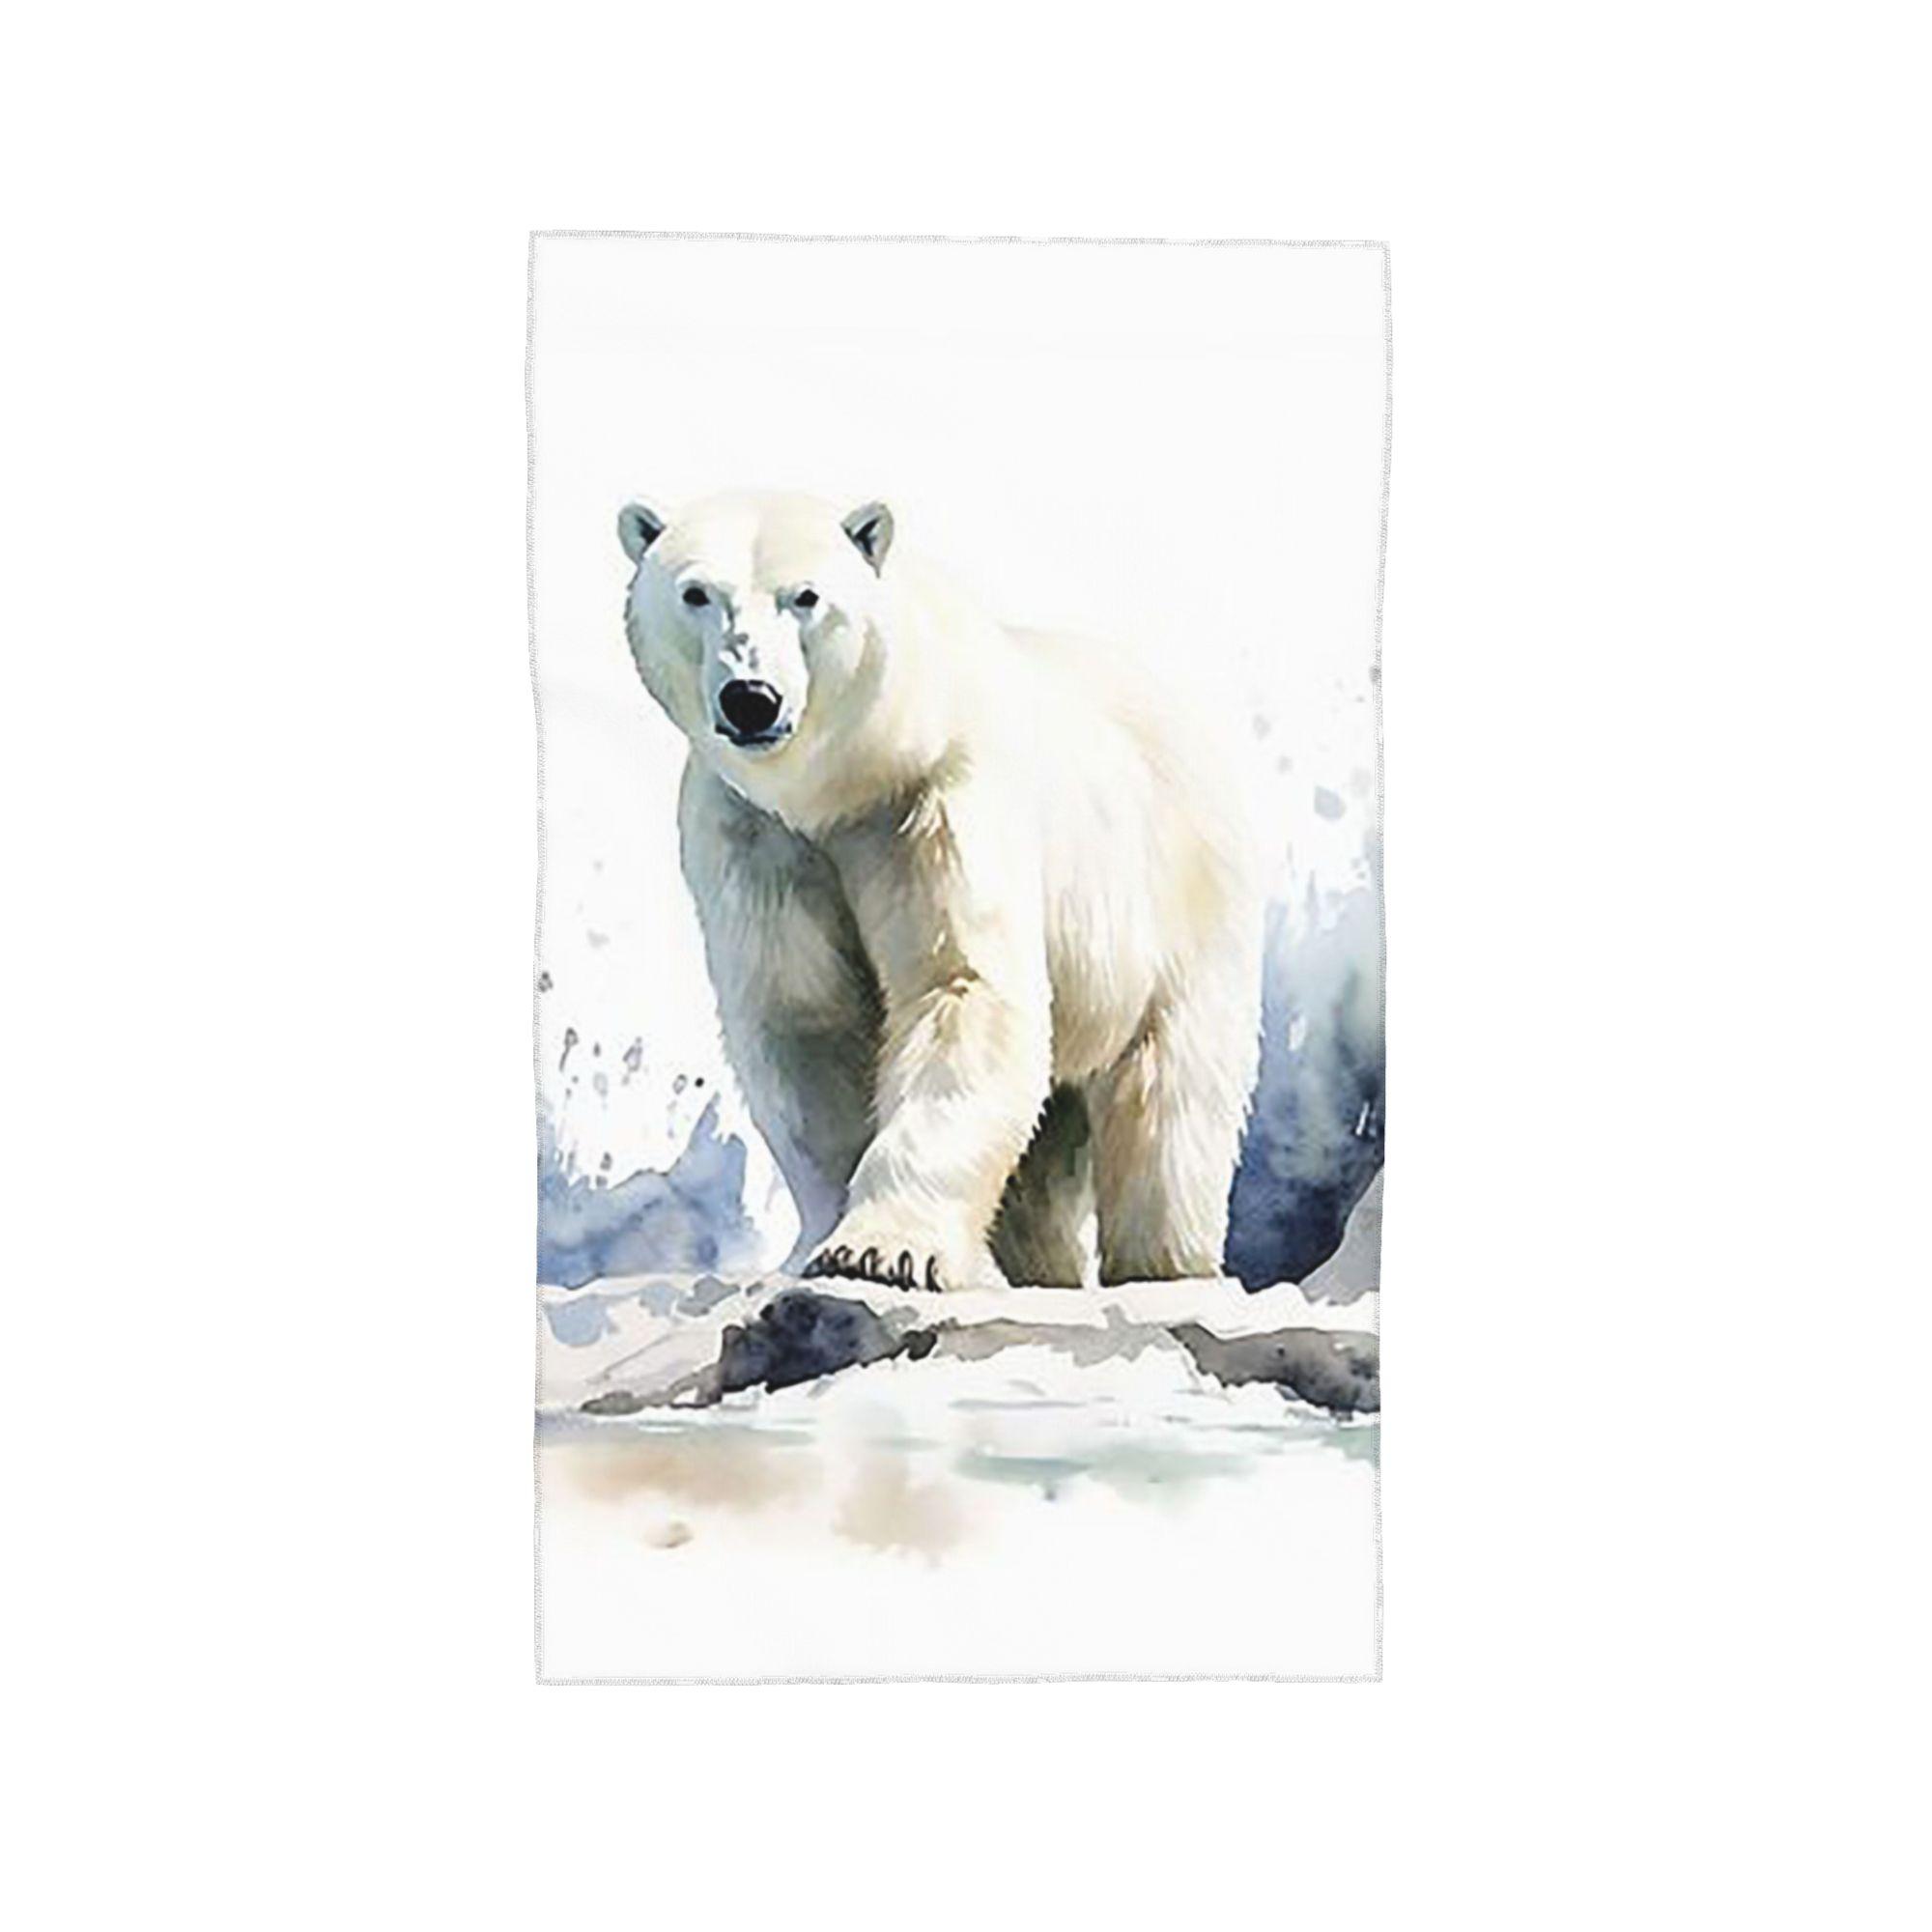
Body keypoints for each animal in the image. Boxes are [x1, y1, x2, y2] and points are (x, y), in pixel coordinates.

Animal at [619, 490, 1263, 1292]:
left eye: (806, 597)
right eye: (697, 594)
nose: (752, 699)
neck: (851, 780)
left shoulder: (937, 801)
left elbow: (959, 987)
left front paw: (884, 1251)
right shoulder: (756, 835)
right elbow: (806, 1019)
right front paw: (824, 1241)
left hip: (1174, 906)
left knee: (1166, 1105)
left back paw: (1164, 1266)